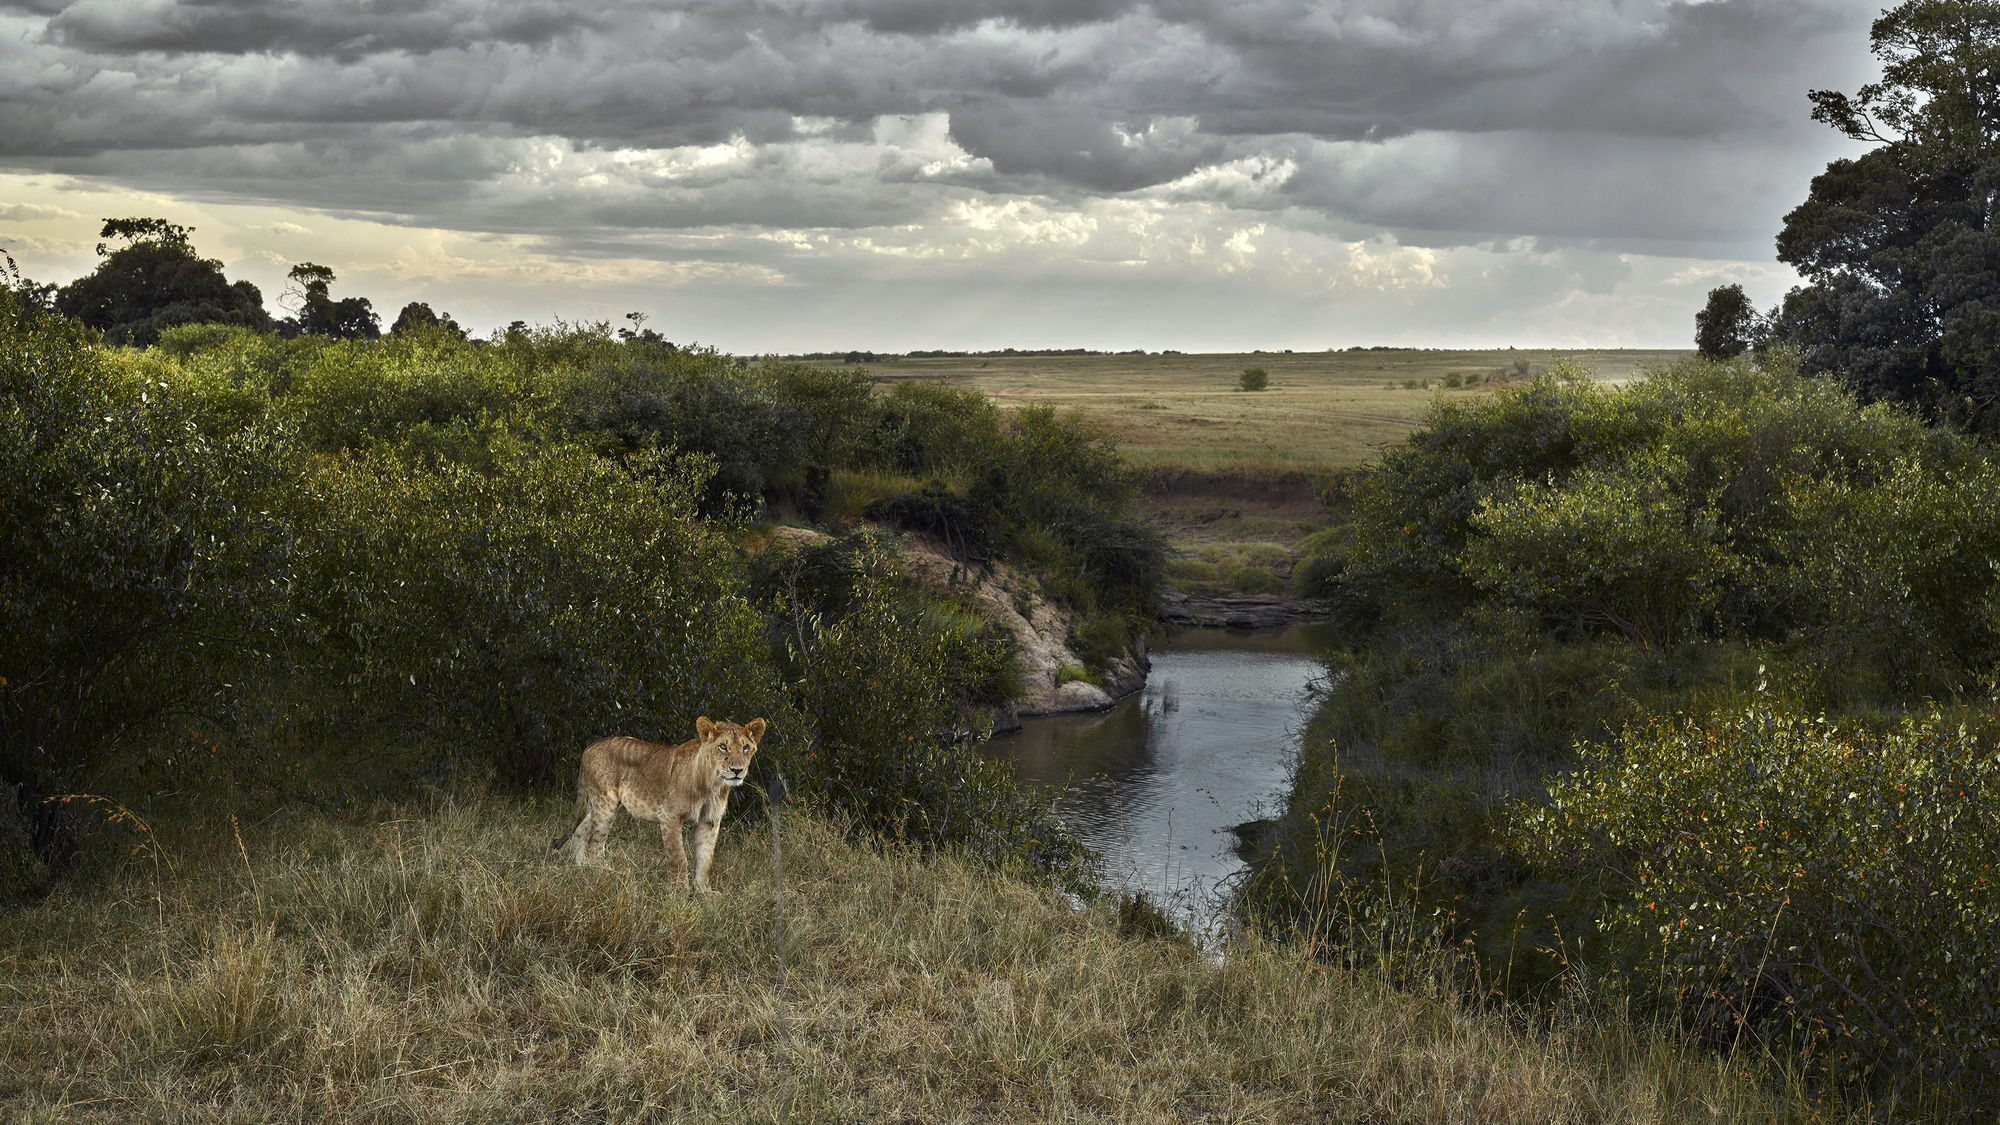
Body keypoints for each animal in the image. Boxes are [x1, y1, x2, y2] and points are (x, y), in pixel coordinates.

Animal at [550, 716, 766, 892]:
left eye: (745, 747)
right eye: (723, 746)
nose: (737, 770)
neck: (712, 784)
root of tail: (590, 746)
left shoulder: (709, 821)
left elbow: (706, 860)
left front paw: (705, 893)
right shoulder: (670, 816)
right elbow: (679, 857)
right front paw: (680, 892)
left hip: (599, 803)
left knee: (581, 830)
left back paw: (580, 868)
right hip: (606, 803)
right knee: (595, 843)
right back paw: (604, 874)